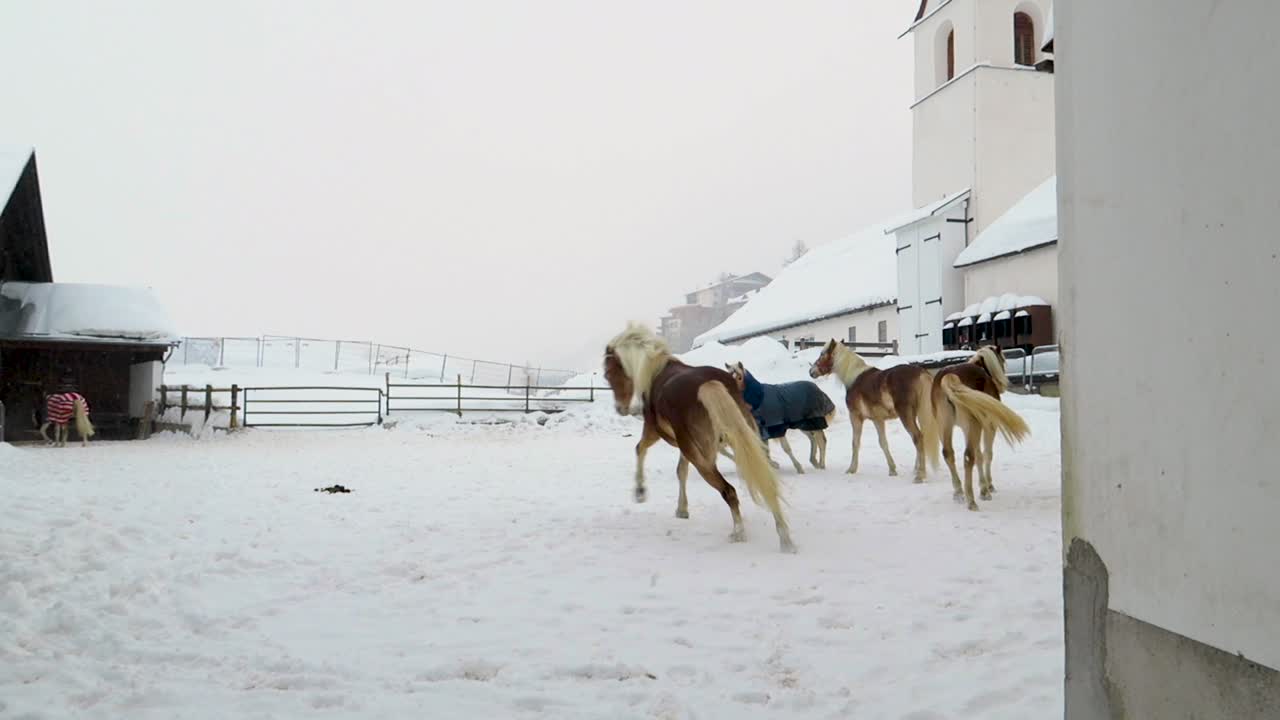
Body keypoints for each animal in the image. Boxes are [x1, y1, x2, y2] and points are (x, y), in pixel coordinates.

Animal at [603, 323, 796, 553]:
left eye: (608, 373)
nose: (620, 409)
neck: (656, 371)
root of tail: (708, 384)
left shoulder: (654, 432)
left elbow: (640, 449)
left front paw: (640, 492)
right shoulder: (688, 447)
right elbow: (681, 471)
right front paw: (681, 509)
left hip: (702, 456)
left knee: (729, 491)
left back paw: (739, 532)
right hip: (741, 442)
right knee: (766, 482)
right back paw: (785, 537)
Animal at [809, 339, 938, 482]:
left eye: (822, 354)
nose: (811, 371)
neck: (854, 378)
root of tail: (921, 373)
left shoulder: (856, 417)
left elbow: (856, 443)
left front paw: (851, 469)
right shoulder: (878, 420)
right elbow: (883, 443)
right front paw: (892, 470)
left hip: (906, 416)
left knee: (918, 438)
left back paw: (920, 475)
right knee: (921, 437)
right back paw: (916, 470)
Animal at [930, 346, 1030, 510]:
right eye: (1002, 360)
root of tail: (949, 376)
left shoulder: (967, 430)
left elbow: (979, 455)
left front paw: (983, 486)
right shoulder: (989, 426)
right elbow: (987, 454)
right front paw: (987, 487)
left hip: (944, 426)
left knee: (948, 454)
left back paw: (958, 492)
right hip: (973, 425)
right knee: (968, 456)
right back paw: (971, 501)